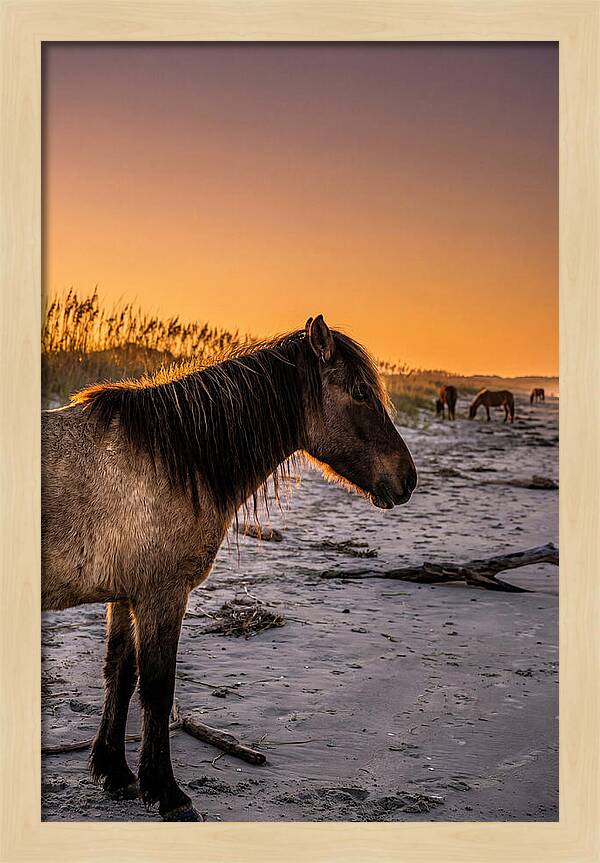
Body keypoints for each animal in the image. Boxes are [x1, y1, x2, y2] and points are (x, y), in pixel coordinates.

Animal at [42, 314, 417, 822]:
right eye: (360, 393)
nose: (408, 479)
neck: (172, 459)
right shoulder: (162, 596)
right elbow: (157, 687)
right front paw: (167, 793)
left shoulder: (125, 595)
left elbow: (119, 672)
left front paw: (115, 773)